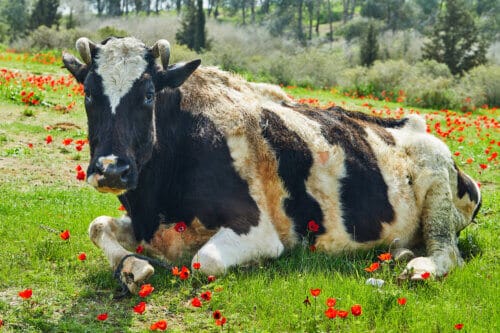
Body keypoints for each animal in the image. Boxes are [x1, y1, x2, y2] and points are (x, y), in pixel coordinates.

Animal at [62, 37, 480, 294]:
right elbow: (97, 227)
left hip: (439, 192)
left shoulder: (257, 229)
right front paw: (134, 268)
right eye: (88, 93)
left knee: (449, 253)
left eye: (149, 94)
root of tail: (413, 123)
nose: (111, 170)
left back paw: (420, 267)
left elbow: (203, 261)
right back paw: (402, 253)